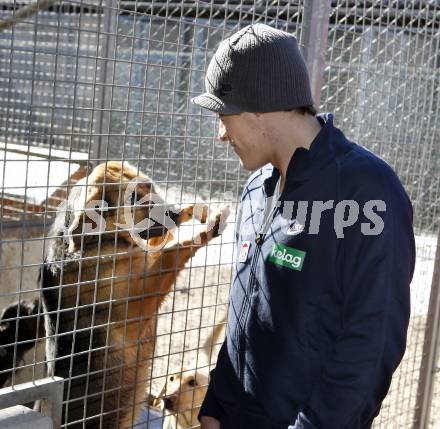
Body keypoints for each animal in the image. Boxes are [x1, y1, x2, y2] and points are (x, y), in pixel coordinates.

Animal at [33, 161, 229, 428]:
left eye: (151, 186)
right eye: (133, 198)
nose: (173, 212)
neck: (105, 239)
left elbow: (163, 245)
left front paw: (193, 211)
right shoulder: (137, 305)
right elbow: (173, 252)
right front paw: (209, 227)